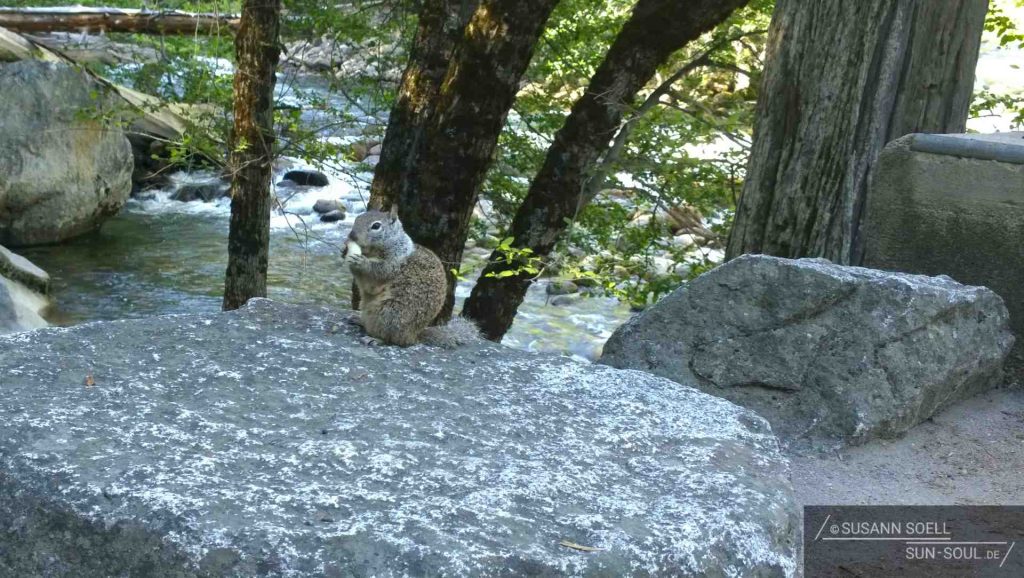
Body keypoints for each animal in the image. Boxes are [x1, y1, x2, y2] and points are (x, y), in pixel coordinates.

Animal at [343, 203, 480, 348]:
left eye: (376, 226)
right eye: (358, 218)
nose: (352, 236)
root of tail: (414, 336)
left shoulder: (393, 265)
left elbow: (376, 275)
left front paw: (361, 262)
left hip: (388, 314)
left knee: (392, 339)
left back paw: (375, 339)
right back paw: (358, 319)